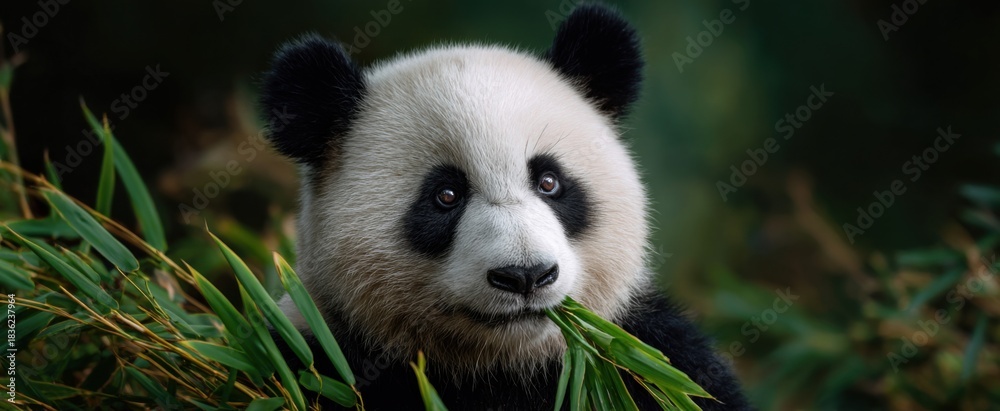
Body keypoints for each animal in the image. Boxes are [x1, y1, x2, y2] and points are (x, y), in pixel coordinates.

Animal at [261, 4, 751, 410]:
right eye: (446, 195)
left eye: (549, 182)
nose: (526, 275)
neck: (504, 366)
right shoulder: (317, 357)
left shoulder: (648, 352)